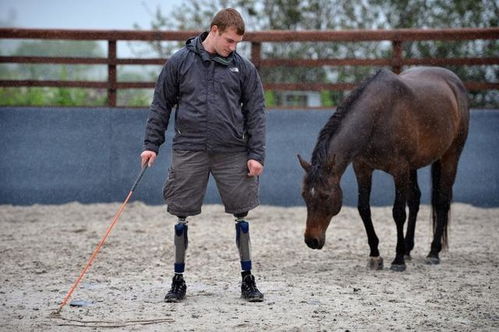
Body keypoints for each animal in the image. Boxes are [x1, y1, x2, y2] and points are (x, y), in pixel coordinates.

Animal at [298, 66, 470, 272]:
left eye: (325, 196)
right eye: (304, 195)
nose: (311, 241)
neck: (378, 116)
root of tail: (454, 81)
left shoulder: (400, 170)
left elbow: (398, 213)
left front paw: (398, 260)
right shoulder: (362, 169)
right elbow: (364, 209)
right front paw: (375, 255)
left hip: (451, 156)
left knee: (442, 201)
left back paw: (433, 253)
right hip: (413, 166)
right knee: (415, 200)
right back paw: (408, 249)